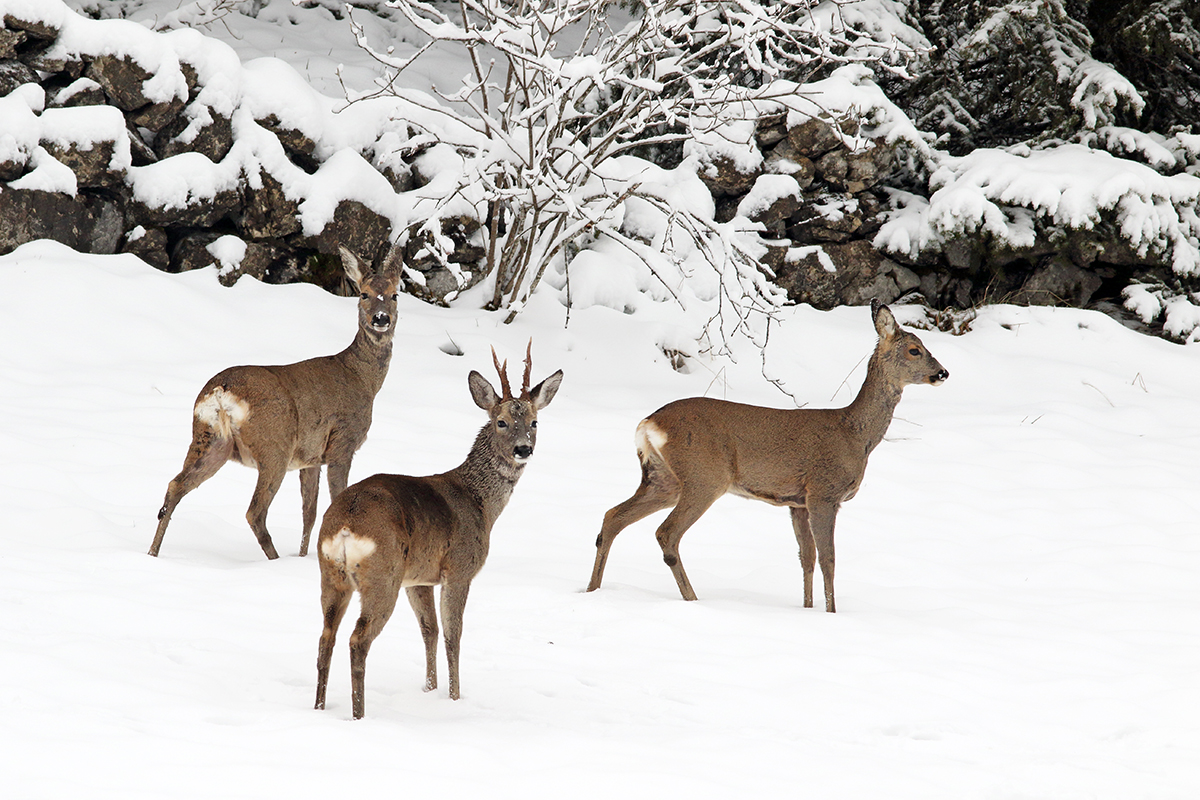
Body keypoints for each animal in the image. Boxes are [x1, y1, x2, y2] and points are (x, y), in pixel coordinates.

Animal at [148, 241, 403, 561]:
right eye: (364, 293)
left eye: (395, 294)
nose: (381, 319)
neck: (362, 379)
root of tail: (220, 391)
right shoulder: (342, 443)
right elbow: (334, 500)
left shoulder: (311, 457)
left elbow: (309, 512)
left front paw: (304, 557)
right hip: (274, 444)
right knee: (254, 512)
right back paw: (274, 560)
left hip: (208, 439)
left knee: (175, 486)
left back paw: (152, 553)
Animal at [316, 343, 564, 719]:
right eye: (501, 421)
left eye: (534, 422)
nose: (524, 448)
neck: (479, 502)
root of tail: (345, 524)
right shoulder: (459, 569)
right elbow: (452, 635)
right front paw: (454, 698)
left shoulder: (418, 578)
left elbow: (429, 630)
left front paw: (429, 690)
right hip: (382, 575)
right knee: (358, 639)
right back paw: (359, 715)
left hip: (332, 574)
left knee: (326, 636)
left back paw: (318, 706)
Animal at [585, 302, 950, 614]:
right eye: (915, 350)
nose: (943, 373)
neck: (855, 435)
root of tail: (649, 423)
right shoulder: (823, 492)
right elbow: (829, 559)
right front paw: (832, 614)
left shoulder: (797, 502)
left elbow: (806, 557)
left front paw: (807, 609)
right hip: (705, 475)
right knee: (666, 533)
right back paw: (692, 599)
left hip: (663, 479)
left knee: (612, 516)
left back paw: (592, 590)